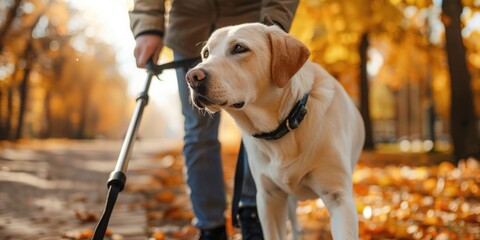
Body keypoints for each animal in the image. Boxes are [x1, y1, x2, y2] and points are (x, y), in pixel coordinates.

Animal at [186, 23, 366, 240]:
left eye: (239, 48)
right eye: (206, 53)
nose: (192, 77)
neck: (289, 123)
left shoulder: (339, 197)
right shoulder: (269, 198)